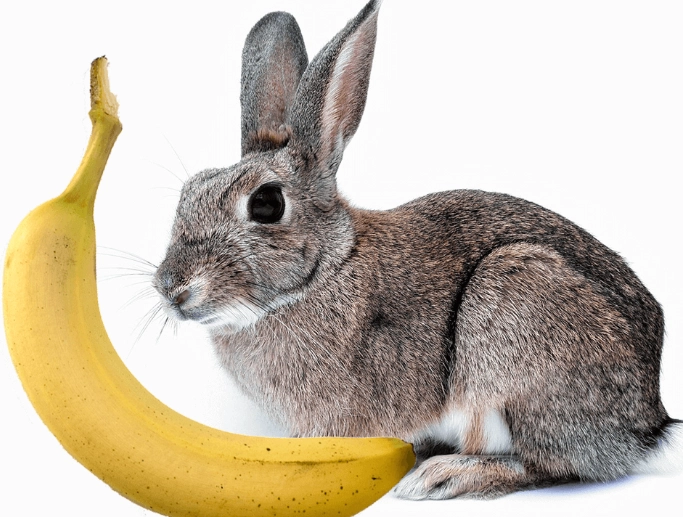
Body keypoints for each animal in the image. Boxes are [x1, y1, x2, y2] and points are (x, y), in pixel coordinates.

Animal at [153, 0, 682, 500]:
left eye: (266, 204)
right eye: (190, 193)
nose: (171, 288)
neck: (324, 272)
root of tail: (648, 426)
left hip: (514, 312)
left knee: (551, 464)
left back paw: (446, 476)